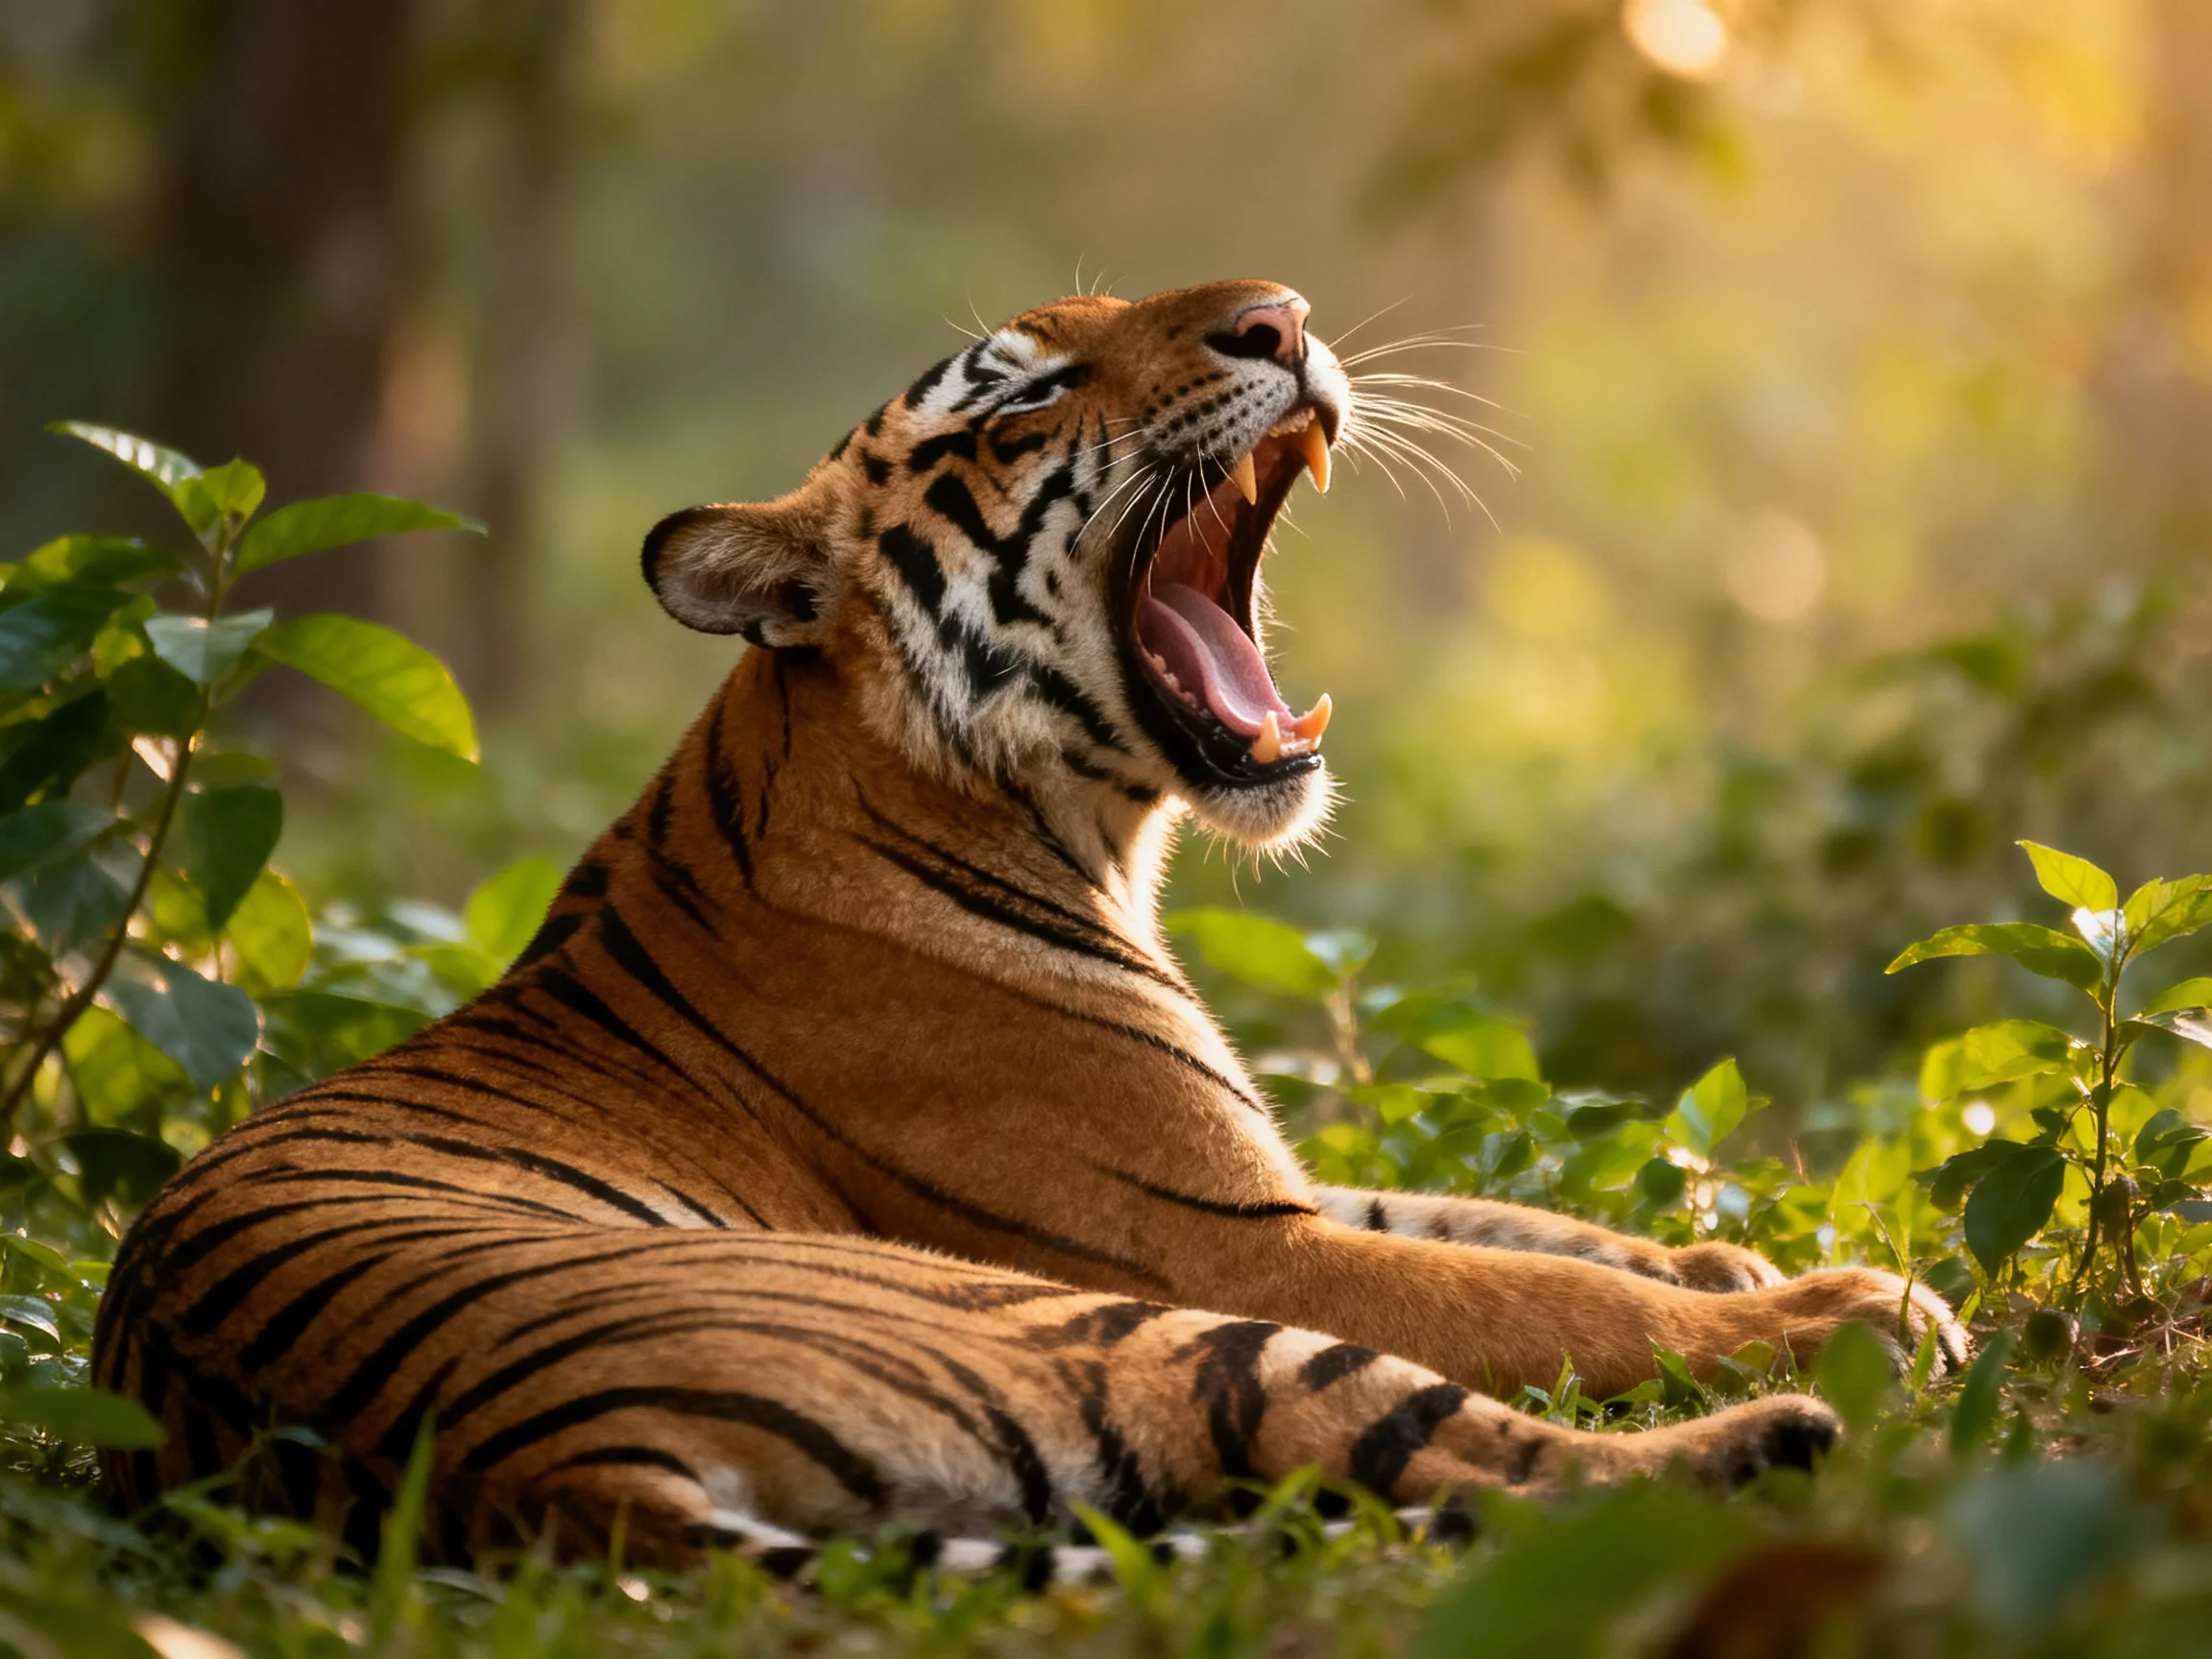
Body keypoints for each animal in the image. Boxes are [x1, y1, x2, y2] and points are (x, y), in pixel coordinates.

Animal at [94, 280, 1968, 1573]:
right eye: (1031, 391)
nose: (1282, 317)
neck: (1092, 832)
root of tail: (546, 1475)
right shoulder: (1225, 1241)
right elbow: (1538, 1292)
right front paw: (1832, 1297)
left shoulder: (1254, 1173)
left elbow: (1525, 1220)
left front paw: (1741, 1254)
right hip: (1134, 1323)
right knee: (1488, 1457)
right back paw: (1817, 1393)